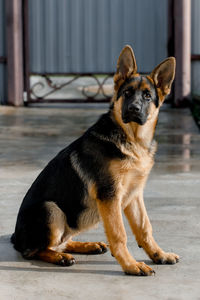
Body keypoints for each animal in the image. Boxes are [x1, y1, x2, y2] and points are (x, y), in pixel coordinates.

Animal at [11, 45, 179, 276]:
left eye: (147, 96)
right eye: (127, 93)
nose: (133, 109)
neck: (132, 139)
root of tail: (15, 237)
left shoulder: (134, 195)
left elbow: (145, 227)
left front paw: (159, 255)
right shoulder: (109, 195)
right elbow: (119, 234)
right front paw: (131, 265)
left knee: (62, 241)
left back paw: (88, 246)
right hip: (51, 210)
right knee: (36, 250)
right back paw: (61, 258)